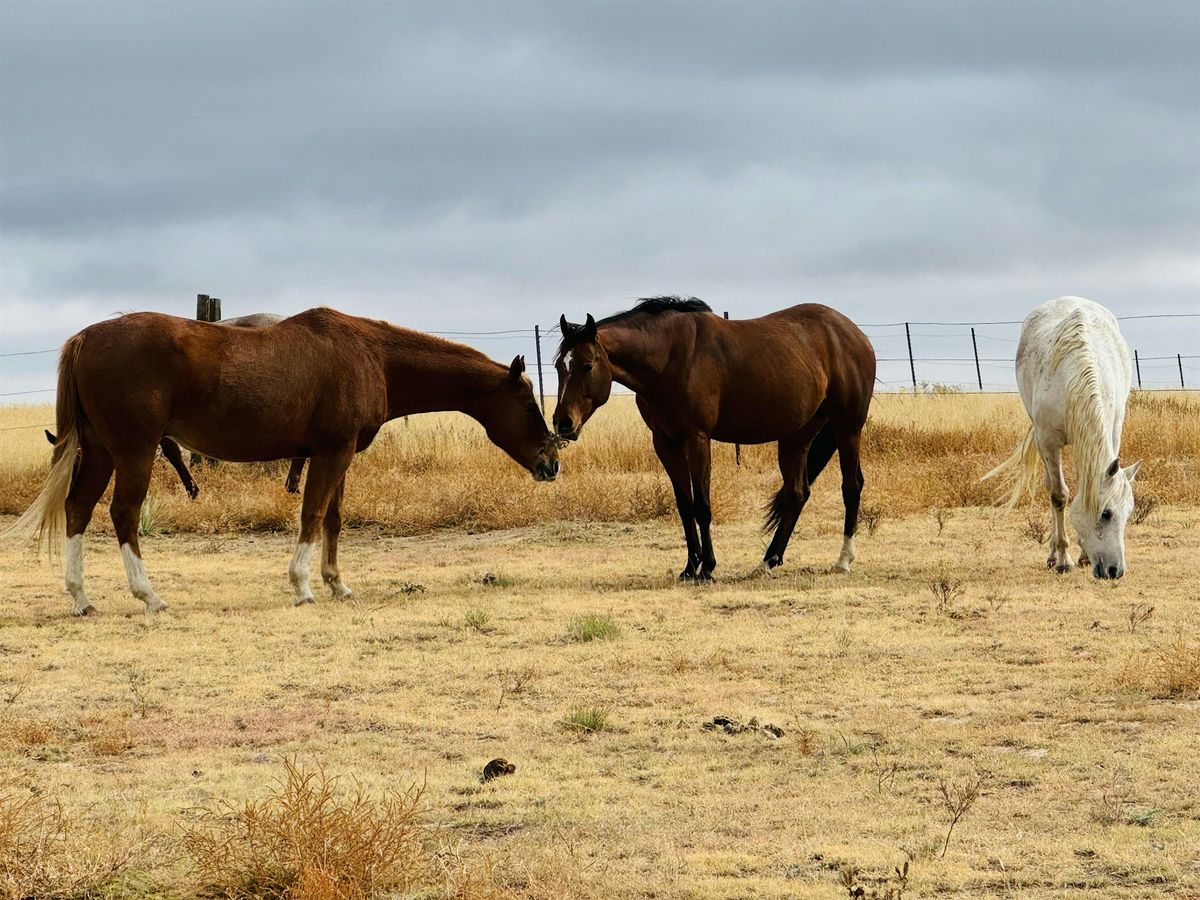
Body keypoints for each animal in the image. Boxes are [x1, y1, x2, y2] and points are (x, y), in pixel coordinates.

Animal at [7, 309, 559, 614]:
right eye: (529, 403)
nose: (552, 461)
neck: (371, 355)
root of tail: (86, 337)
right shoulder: (331, 452)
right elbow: (312, 515)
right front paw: (303, 586)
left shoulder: (336, 454)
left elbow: (334, 519)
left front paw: (338, 585)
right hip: (134, 451)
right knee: (122, 515)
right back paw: (149, 596)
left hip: (100, 450)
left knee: (78, 509)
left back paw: (81, 598)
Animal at [552, 296, 873, 578]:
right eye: (558, 366)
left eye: (587, 365)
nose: (563, 423)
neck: (670, 357)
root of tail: (853, 333)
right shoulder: (665, 443)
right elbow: (684, 506)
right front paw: (689, 567)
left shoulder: (697, 438)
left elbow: (702, 506)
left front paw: (707, 567)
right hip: (795, 437)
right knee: (796, 494)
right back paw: (768, 561)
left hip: (847, 427)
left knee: (851, 486)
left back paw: (843, 560)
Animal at [984, 296, 1142, 578]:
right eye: (1107, 514)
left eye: (1129, 512)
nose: (1115, 571)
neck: (1073, 377)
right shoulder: (1047, 442)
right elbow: (1059, 495)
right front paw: (1064, 559)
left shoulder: (1108, 436)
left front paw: (1083, 555)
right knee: (1051, 487)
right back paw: (1052, 553)